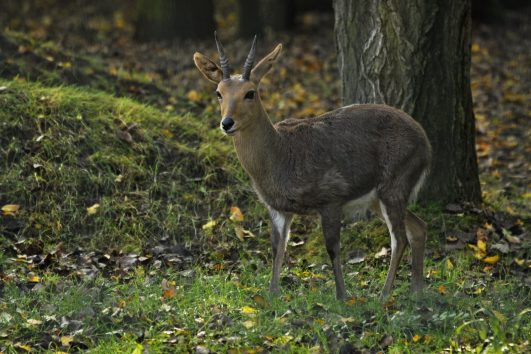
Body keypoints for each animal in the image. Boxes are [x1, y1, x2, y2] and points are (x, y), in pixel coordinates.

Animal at [194, 33, 432, 300]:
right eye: (218, 92)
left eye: (250, 93)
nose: (227, 123)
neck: (279, 158)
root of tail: (426, 144)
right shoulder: (277, 207)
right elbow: (278, 248)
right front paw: (272, 294)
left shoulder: (331, 196)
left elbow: (332, 247)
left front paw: (342, 296)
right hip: (378, 197)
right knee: (418, 228)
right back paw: (417, 291)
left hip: (395, 181)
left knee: (399, 237)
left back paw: (383, 296)